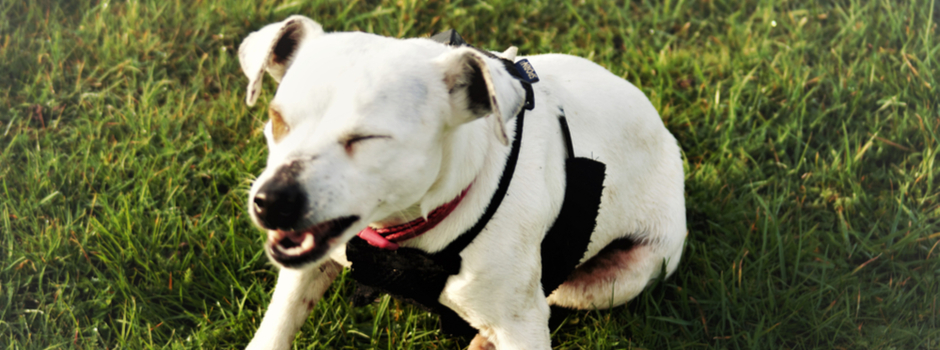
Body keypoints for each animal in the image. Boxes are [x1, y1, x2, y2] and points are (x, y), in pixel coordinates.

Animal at [239, 15, 688, 348]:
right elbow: (276, 329)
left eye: (368, 138)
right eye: (277, 120)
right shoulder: (305, 270)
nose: (271, 201)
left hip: (611, 281)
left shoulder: (523, 327)